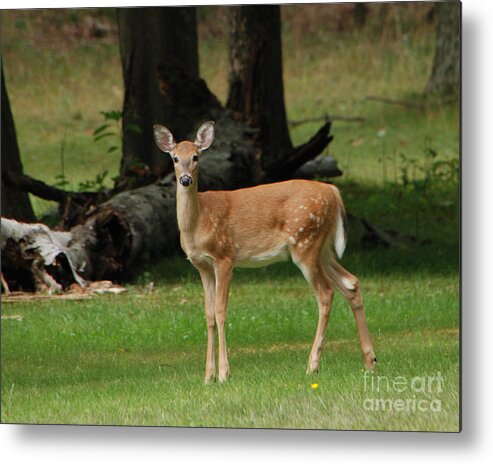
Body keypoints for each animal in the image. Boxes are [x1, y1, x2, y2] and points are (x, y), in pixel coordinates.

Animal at [154, 120, 376, 384]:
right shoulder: (202, 266)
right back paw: (370, 361)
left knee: (326, 293)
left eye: (196, 157)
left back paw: (312, 365)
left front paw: (224, 373)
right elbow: (208, 315)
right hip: (322, 248)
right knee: (350, 282)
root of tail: (334, 191)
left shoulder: (225, 257)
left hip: (305, 242)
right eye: (175, 158)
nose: (186, 180)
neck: (198, 223)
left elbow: (220, 311)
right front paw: (207, 376)